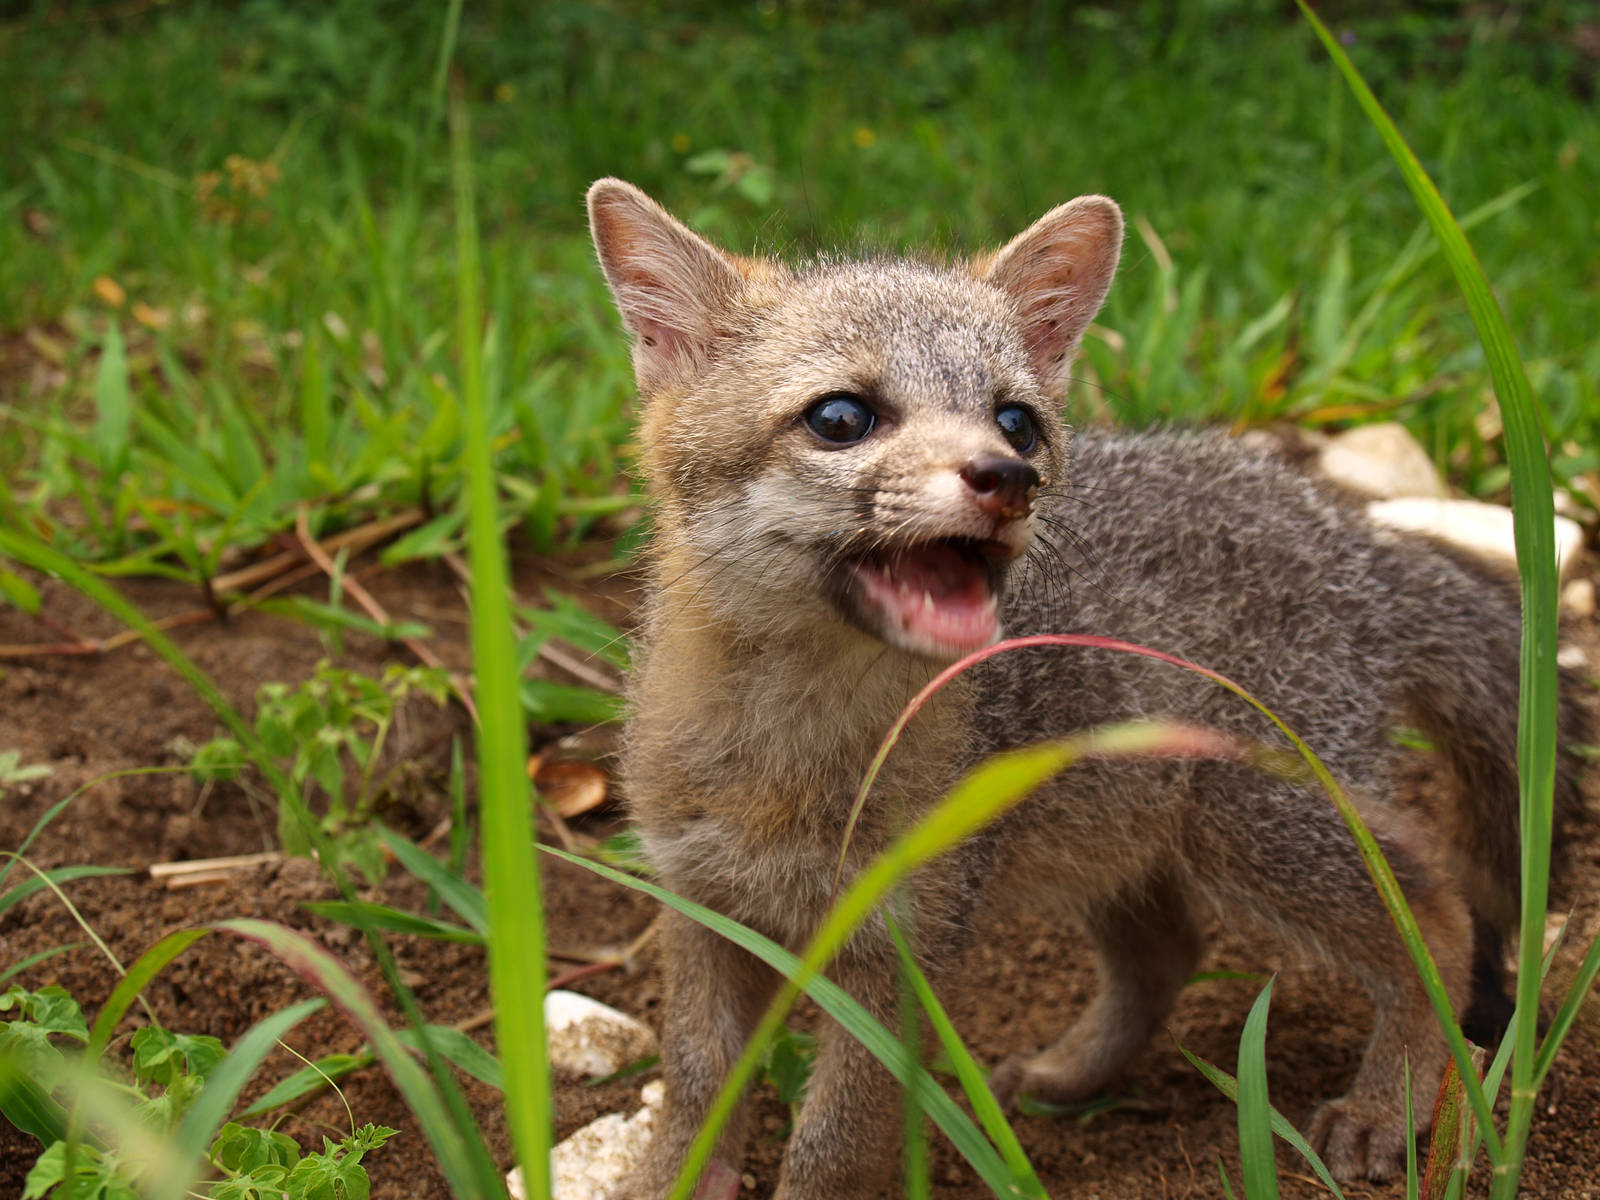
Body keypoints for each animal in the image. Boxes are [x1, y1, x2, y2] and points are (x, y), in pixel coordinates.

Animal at [584, 177, 1585, 1198]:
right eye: (840, 418)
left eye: (1016, 422)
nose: (1006, 477)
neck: (786, 751)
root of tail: (1351, 533)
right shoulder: (701, 905)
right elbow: (695, 1089)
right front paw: (664, 1182)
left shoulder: (905, 940)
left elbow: (833, 1140)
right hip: (1126, 829)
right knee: (1171, 953)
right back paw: (1071, 1075)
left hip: (1257, 825)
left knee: (1437, 911)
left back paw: (1394, 1103)